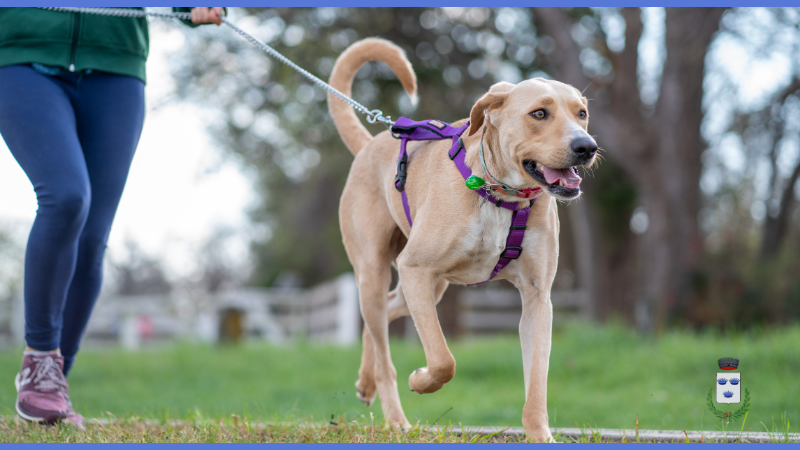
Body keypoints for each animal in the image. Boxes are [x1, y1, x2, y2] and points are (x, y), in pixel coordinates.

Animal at [324, 37, 592, 442]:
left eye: (582, 113)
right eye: (539, 113)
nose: (586, 147)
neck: (500, 195)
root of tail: (373, 143)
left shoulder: (537, 297)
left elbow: (536, 381)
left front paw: (539, 433)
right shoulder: (416, 269)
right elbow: (443, 360)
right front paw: (421, 381)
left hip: (426, 288)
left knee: (381, 317)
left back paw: (366, 382)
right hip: (377, 271)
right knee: (383, 347)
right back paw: (396, 418)